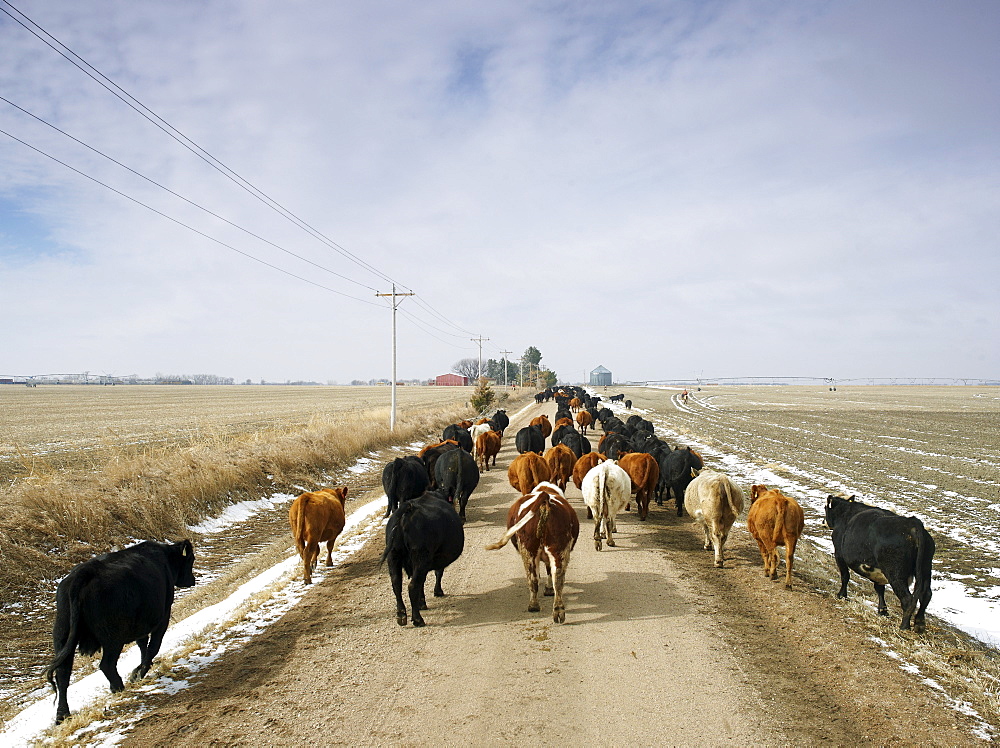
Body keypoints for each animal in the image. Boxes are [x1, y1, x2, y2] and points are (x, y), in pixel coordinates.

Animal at [44, 540, 196, 720]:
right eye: (191, 559)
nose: (193, 580)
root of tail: (83, 574)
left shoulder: (140, 623)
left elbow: (142, 644)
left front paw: (140, 668)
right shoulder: (163, 615)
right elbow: (153, 646)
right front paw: (139, 673)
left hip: (62, 636)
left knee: (62, 673)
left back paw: (62, 714)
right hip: (112, 638)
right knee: (106, 664)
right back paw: (118, 687)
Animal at [382, 490, 464, 624]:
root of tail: (408, 510)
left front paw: (422, 602)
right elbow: (438, 573)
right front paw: (437, 592)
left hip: (393, 557)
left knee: (396, 584)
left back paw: (401, 615)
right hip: (421, 558)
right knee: (412, 586)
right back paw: (418, 619)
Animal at [484, 482, 580, 624]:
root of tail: (545, 498)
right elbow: (549, 571)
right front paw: (549, 589)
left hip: (528, 551)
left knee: (533, 579)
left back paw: (533, 605)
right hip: (558, 550)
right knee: (557, 578)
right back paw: (558, 610)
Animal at [824, 496, 932, 632]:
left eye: (825, 507)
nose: (823, 521)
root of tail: (913, 524)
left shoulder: (839, 554)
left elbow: (845, 576)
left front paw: (841, 595)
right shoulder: (877, 571)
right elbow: (879, 588)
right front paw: (882, 610)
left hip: (895, 573)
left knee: (908, 599)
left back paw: (904, 626)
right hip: (925, 569)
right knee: (926, 594)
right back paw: (919, 624)